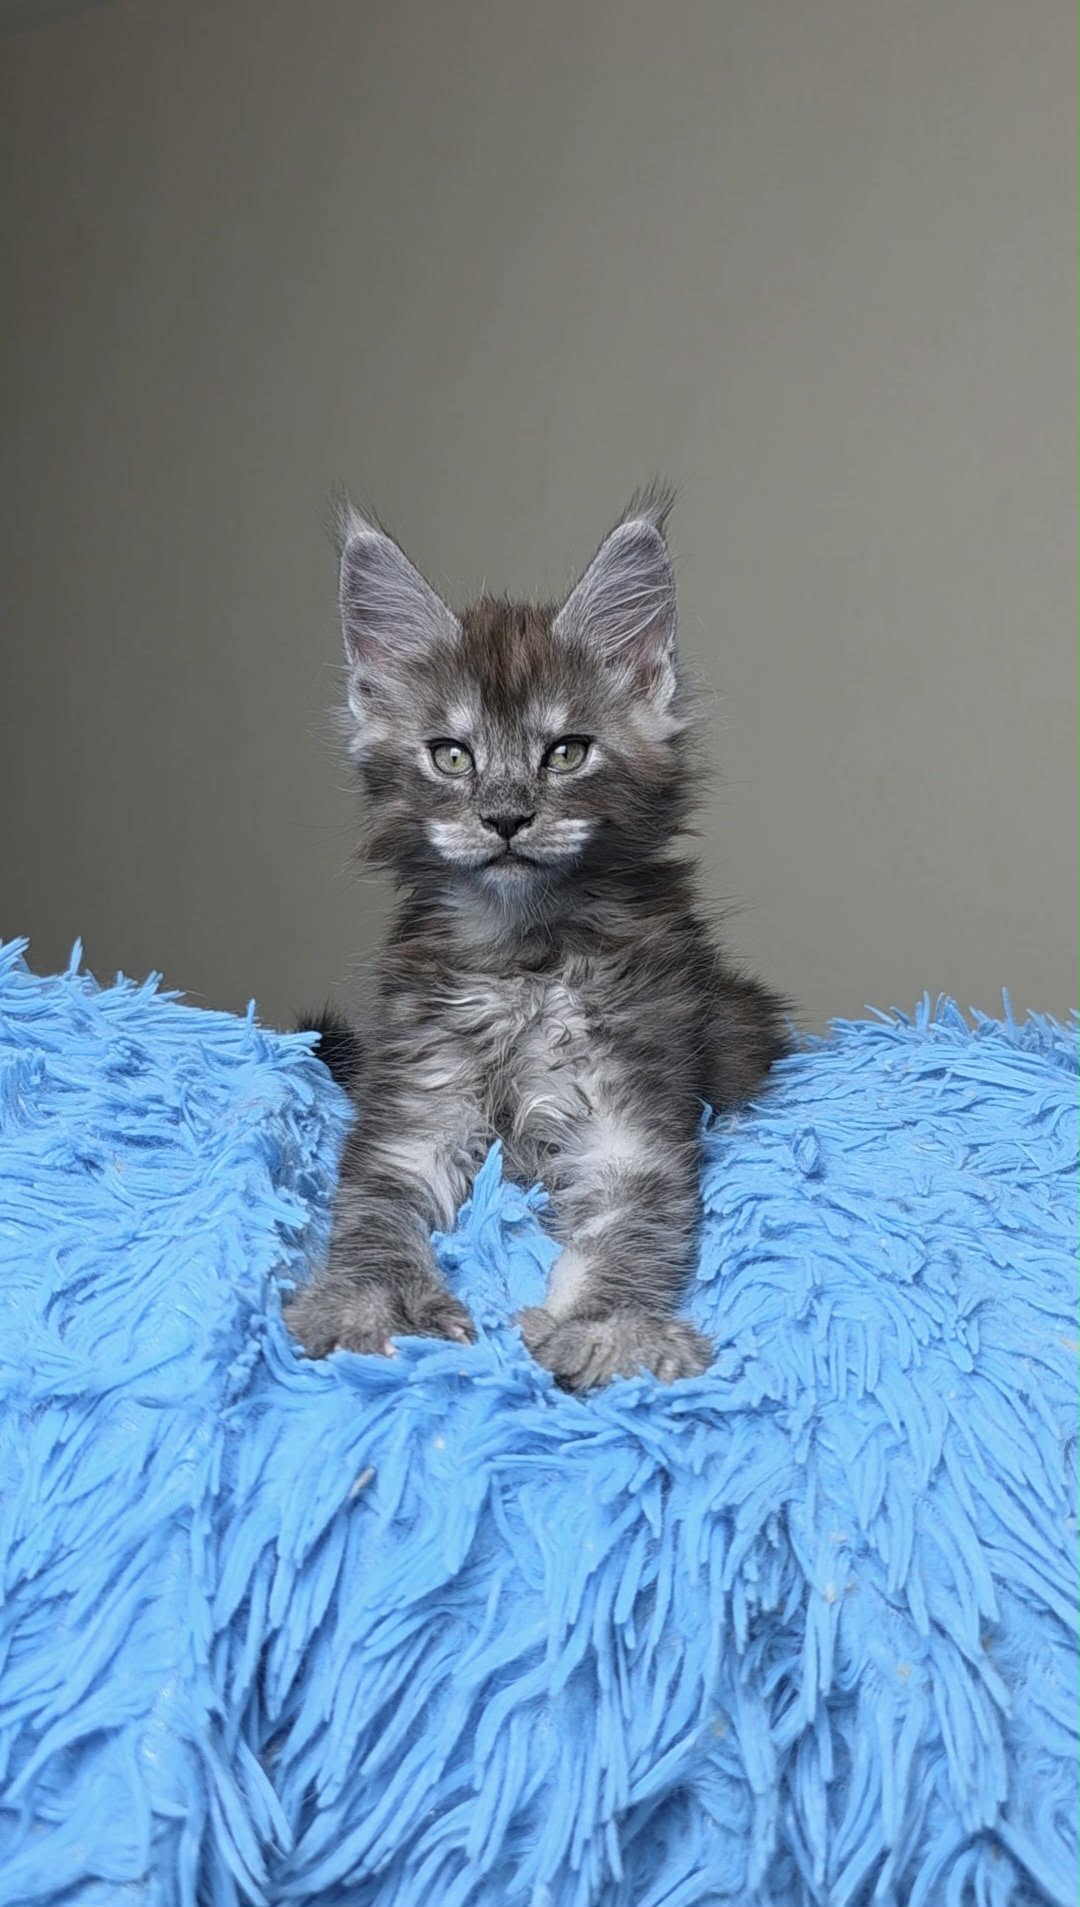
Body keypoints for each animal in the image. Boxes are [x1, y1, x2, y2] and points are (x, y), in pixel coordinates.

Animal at [286, 488, 789, 1390]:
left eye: (566, 752)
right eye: (452, 756)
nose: (507, 816)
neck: (522, 954)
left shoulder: (631, 1122)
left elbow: (632, 1232)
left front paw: (611, 1328)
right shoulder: (410, 1110)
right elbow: (371, 1213)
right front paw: (367, 1305)